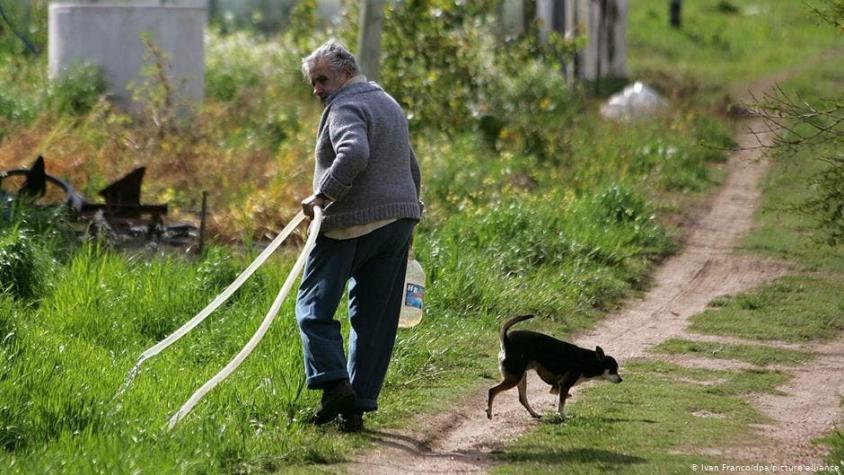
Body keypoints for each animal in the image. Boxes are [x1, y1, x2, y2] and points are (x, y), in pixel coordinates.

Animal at [488, 316, 620, 420]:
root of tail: (506, 341)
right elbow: (561, 404)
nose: (621, 379)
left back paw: (535, 414)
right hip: (515, 378)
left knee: (522, 398)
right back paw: (489, 413)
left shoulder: (558, 386)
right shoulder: (565, 384)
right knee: (492, 390)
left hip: (521, 377)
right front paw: (562, 416)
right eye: (613, 369)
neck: (588, 361)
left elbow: (559, 396)